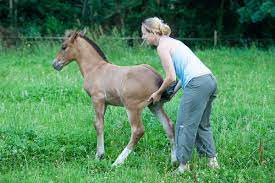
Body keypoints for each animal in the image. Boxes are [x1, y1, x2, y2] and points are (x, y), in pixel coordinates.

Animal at [52, 30, 177, 167]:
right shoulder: (105, 103)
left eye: (64, 46)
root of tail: (156, 76)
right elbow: (100, 123)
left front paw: (99, 155)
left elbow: (98, 125)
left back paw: (117, 162)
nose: (55, 64)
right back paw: (174, 160)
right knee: (168, 125)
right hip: (155, 105)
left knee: (137, 131)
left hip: (132, 107)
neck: (95, 68)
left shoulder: (97, 99)